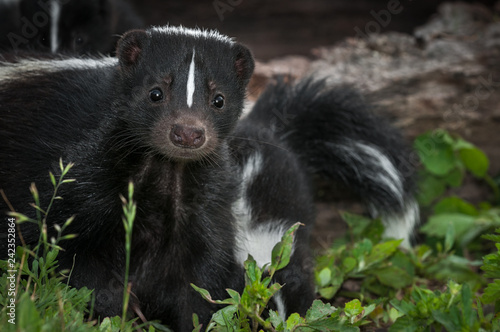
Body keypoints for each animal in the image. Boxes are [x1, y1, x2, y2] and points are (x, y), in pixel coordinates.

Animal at [0, 26, 418, 332]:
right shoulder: (83, 170)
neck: (165, 174)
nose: (188, 133)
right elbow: (71, 250)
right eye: (155, 93)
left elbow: (197, 281)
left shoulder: (203, 204)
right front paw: (113, 313)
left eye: (218, 100)